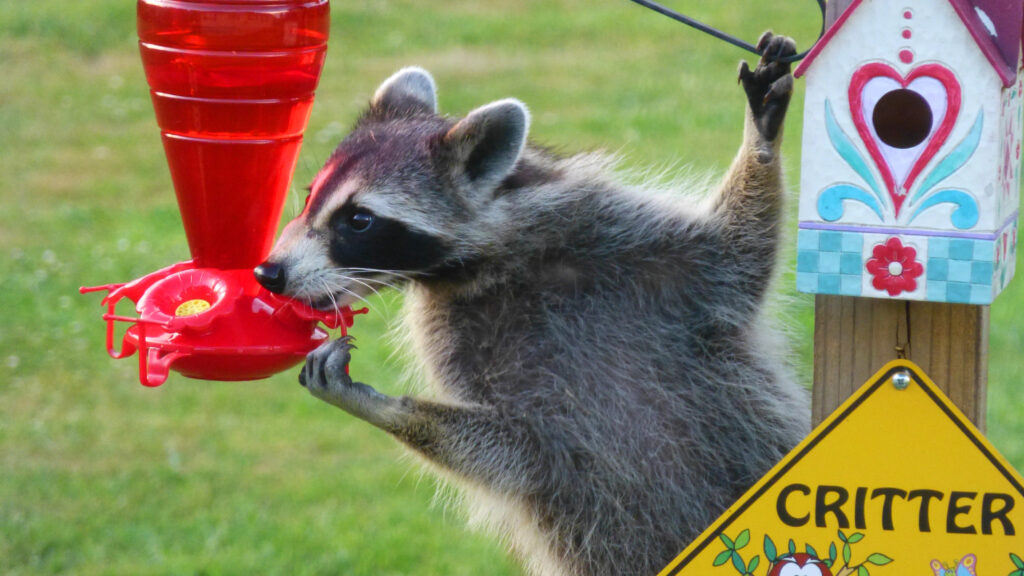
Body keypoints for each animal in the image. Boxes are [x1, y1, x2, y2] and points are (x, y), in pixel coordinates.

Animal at [255, 32, 809, 576]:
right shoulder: (454, 335)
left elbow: (740, 251)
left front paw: (760, 145)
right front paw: (390, 410)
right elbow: (516, 450)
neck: (494, 262)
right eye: (310, 194)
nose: (268, 273)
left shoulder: (643, 246)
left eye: (358, 220)